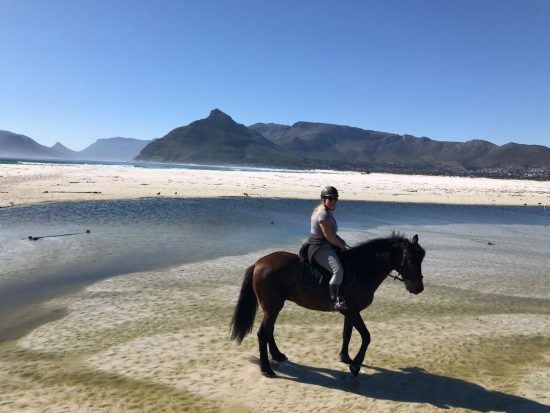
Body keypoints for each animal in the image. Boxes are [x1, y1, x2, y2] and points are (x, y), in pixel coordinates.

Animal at [231, 232, 430, 376]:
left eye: (421, 259)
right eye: (410, 259)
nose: (418, 288)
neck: (362, 269)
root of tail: (258, 263)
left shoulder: (350, 312)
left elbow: (347, 334)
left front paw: (345, 358)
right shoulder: (353, 312)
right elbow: (366, 336)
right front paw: (355, 366)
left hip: (273, 308)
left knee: (269, 331)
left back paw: (278, 356)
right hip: (272, 307)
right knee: (262, 333)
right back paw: (266, 369)